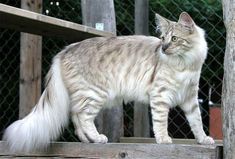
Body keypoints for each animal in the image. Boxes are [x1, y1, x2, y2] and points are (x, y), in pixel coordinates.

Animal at [2, 12, 214, 152]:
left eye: (175, 39)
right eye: (163, 38)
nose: (163, 48)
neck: (185, 64)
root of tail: (65, 50)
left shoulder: (190, 97)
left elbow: (197, 121)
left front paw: (204, 140)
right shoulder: (160, 95)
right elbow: (161, 121)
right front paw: (163, 139)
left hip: (86, 96)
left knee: (75, 117)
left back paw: (90, 140)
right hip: (95, 93)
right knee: (83, 117)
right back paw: (96, 137)